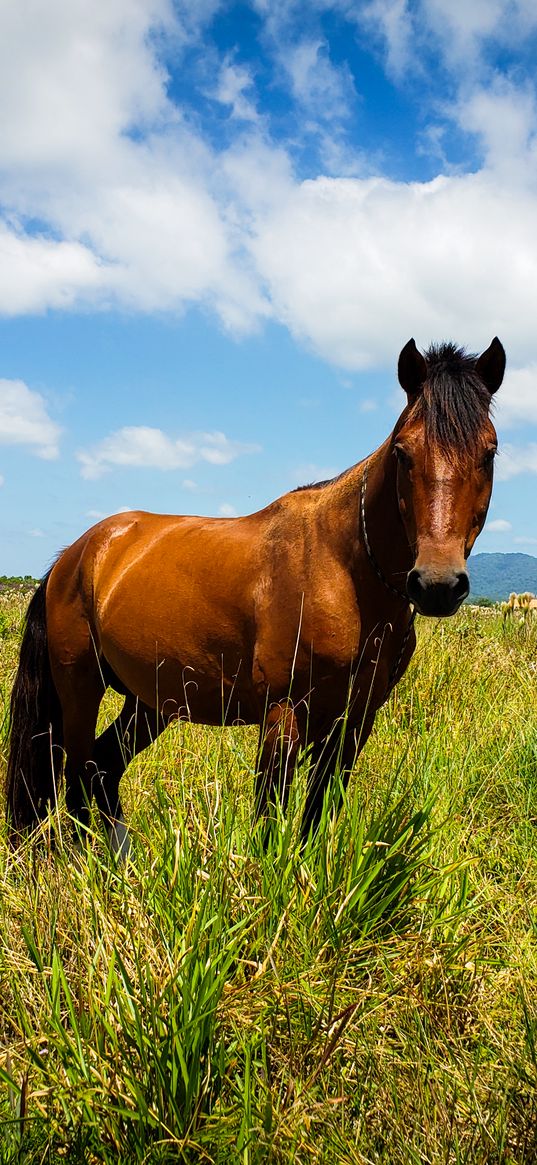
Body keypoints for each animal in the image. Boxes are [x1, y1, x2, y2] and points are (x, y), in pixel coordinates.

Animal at [6, 333, 505, 852]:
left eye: (489, 453)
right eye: (403, 452)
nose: (437, 584)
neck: (343, 572)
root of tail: (75, 556)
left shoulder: (354, 721)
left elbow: (316, 818)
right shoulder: (283, 716)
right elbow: (268, 822)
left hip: (150, 700)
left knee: (102, 770)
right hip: (80, 688)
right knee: (78, 776)